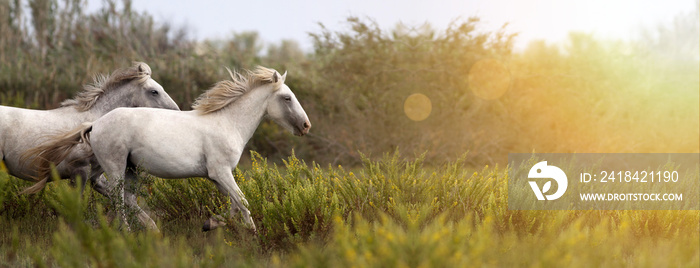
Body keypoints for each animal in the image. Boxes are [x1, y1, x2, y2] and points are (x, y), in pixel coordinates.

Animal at [28, 66, 308, 231]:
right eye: (287, 97)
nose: (306, 126)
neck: (227, 123)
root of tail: (95, 123)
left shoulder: (218, 177)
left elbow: (233, 205)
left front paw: (211, 224)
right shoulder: (221, 172)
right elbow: (243, 202)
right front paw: (252, 236)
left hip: (128, 169)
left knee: (120, 195)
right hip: (116, 168)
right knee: (118, 199)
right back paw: (126, 234)